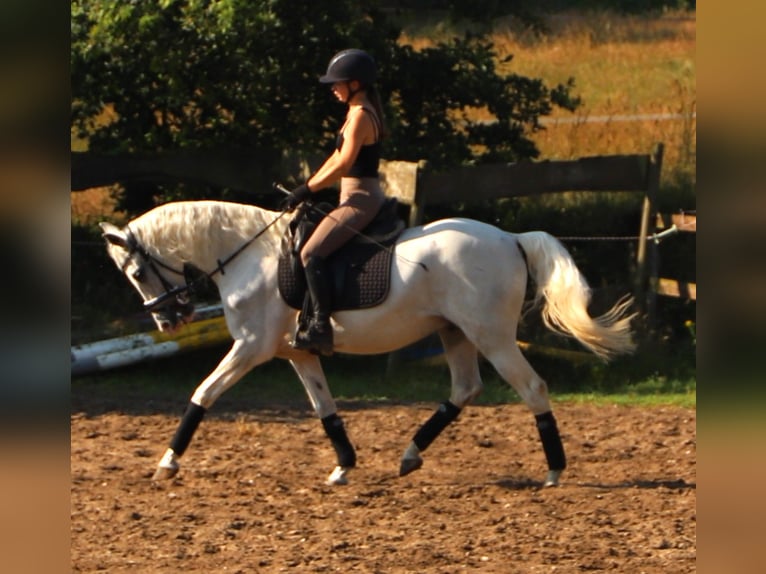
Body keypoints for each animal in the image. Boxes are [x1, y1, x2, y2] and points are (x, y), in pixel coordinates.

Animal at [99, 199, 636, 487]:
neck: (247, 255)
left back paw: (554, 472)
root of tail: (512, 238)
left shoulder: (251, 348)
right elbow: (326, 410)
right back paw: (410, 455)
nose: (169, 320)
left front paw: (167, 463)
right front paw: (343, 467)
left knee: (533, 389)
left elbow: (203, 394)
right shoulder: (298, 352)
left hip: (492, 336)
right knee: (464, 390)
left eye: (136, 273)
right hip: (455, 333)